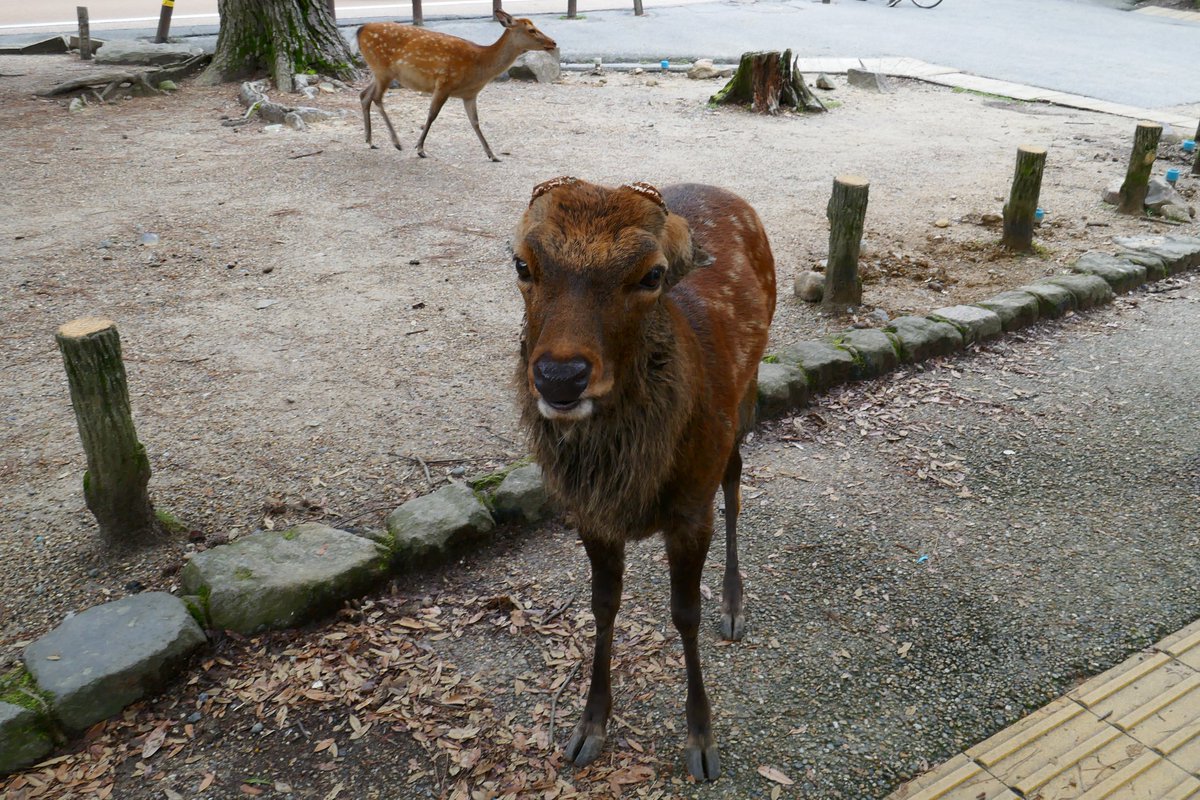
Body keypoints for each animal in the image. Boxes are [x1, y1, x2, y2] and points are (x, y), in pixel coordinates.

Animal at [356, 11, 557, 162]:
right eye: (531, 30)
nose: (553, 42)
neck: (480, 66)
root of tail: (360, 29)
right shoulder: (445, 82)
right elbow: (432, 115)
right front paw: (420, 148)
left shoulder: (470, 94)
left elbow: (475, 122)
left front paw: (492, 154)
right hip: (383, 68)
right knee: (376, 98)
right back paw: (396, 142)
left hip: (379, 72)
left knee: (364, 95)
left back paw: (370, 140)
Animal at [511, 177, 777, 781]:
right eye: (521, 264)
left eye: (652, 275)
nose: (560, 376)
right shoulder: (590, 514)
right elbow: (603, 605)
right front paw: (589, 726)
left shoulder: (690, 509)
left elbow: (686, 613)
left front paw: (701, 739)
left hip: (745, 397)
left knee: (736, 482)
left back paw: (734, 603)